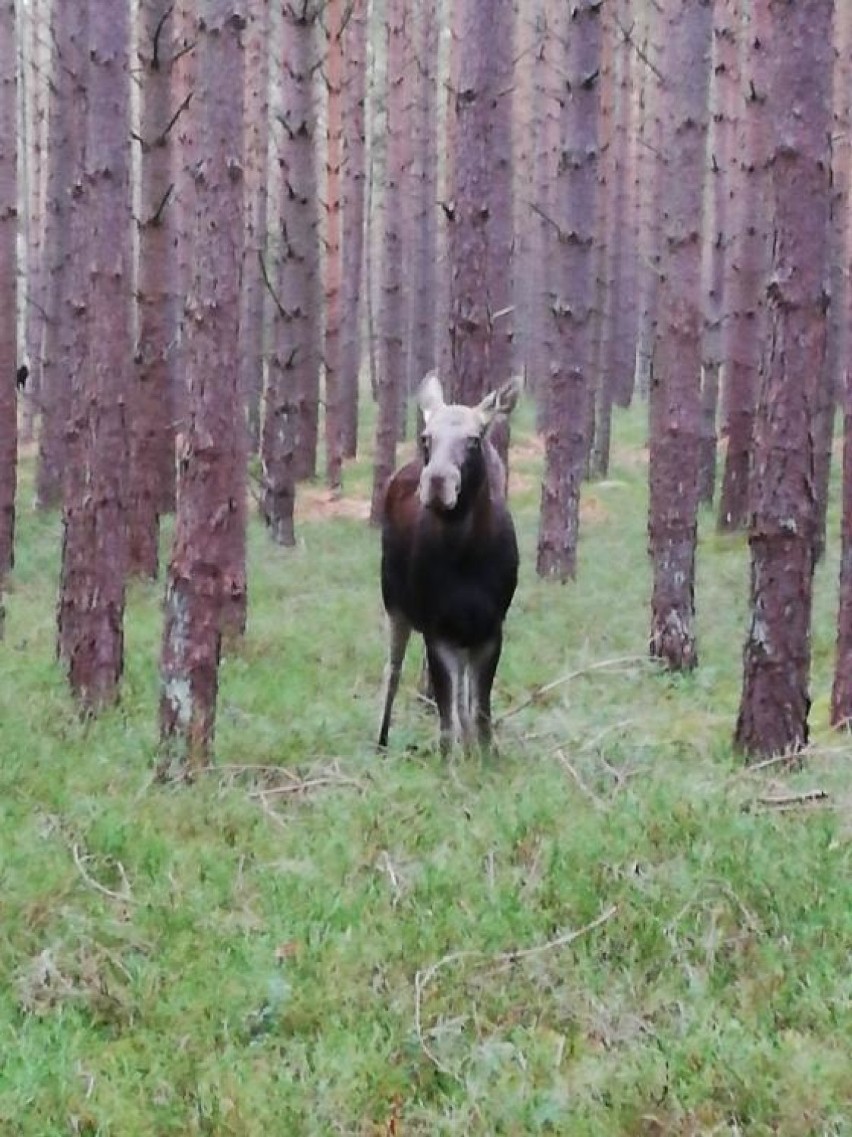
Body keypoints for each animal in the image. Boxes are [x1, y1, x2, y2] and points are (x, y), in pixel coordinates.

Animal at [377, 372, 520, 754]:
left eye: (474, 439)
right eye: (426, 437)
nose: (437, 480)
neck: (467, 558)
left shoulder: (490, 629)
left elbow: (480, 712)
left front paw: (486, 758)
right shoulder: (436, 628)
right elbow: (446, 721)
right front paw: (450, 761)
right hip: (394, 604)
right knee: (392, 671)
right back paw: (381, 742)